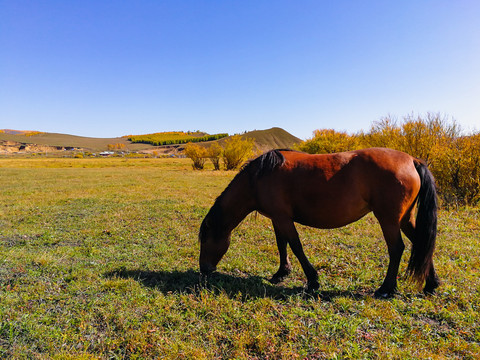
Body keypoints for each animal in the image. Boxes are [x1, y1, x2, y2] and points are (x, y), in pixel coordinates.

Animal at [198, 148, 438, 296]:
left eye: (205, 240)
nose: (204, 269)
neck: (259, 177)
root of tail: (412, 160)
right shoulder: (277, 218)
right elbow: (282, 245)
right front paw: (281, 273)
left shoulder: (283, 218)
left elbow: (295, 246)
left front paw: (312, 280)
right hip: (404, 219)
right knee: (421, 243)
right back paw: (431, 284)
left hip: (389, 220)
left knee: (397, 249)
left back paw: (387, 288)